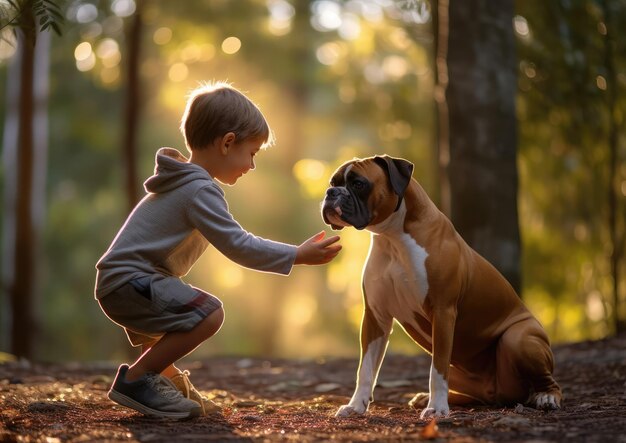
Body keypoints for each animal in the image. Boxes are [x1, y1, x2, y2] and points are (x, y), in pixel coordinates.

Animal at [322, 155, 560, 420]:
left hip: (519, 338)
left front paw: (436, 408)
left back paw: (546, 397)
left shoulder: (442, 312)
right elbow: (365, 369)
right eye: (333, 182)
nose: (331, 192)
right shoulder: (376, 317)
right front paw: (356, 405)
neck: (392, 237)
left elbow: (436, 371)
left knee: (549, 382)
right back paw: (424, 398)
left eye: (358, 184)